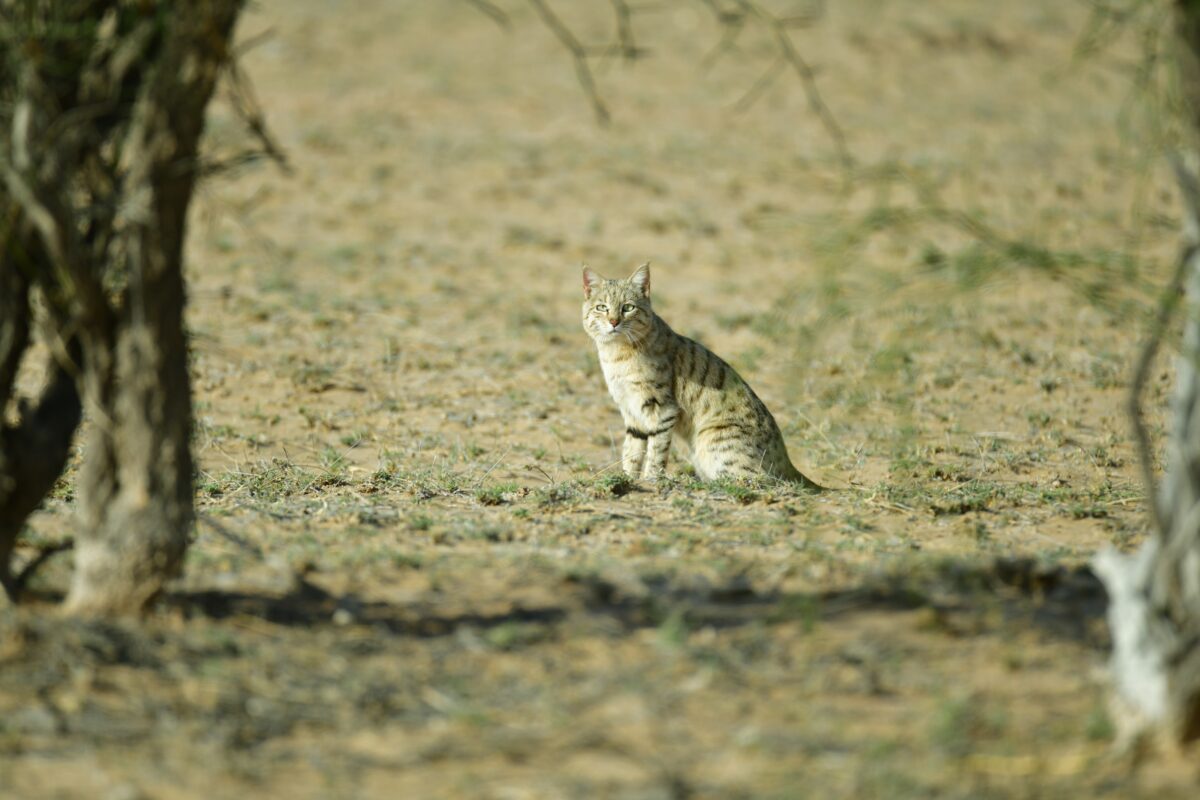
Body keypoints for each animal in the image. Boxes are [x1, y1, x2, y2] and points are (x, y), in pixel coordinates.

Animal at [580, 262, 825, 489]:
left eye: (628, 307)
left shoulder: (661, 408)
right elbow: (631, 451)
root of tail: (788, 462)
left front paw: (651, 479)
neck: (616, 355)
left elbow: (656, 451)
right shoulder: (631, 411)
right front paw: (626, 478)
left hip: (711, 439)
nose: (613, 322)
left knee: (759, 480)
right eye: (601, 307)